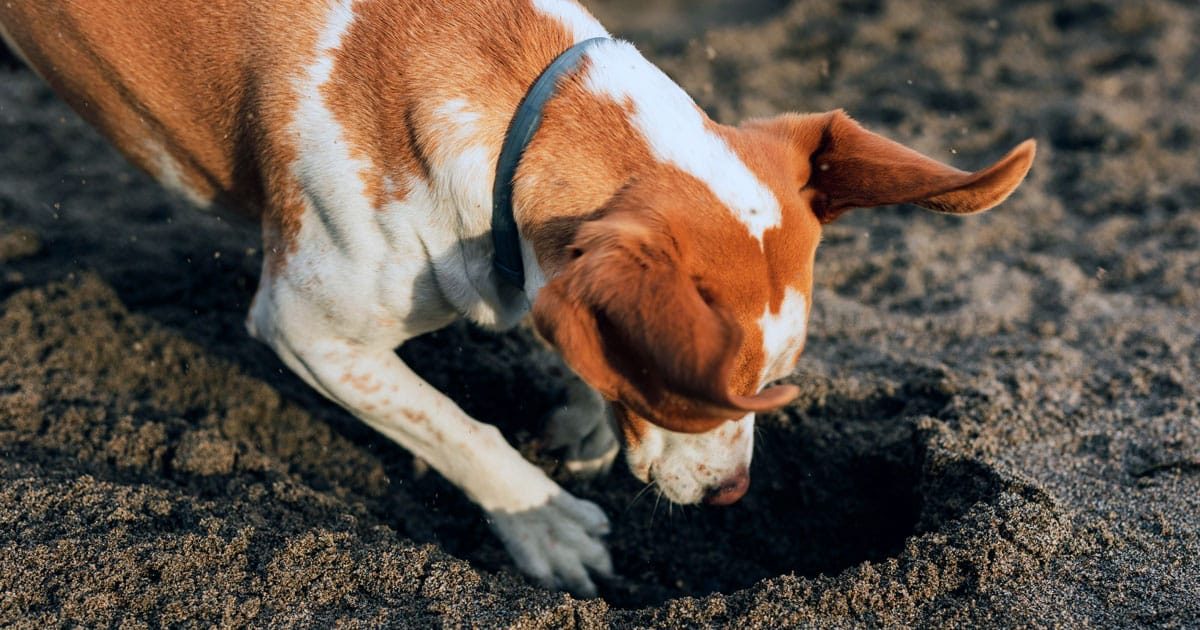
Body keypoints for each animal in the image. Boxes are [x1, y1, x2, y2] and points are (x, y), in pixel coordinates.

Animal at [0, 0, 1032, 595]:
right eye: (709, 397)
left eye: (784, 378)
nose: (734, 493)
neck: (520, 104)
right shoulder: (307, 329)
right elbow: (454, 426)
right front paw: (545, 524)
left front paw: (581, 418)